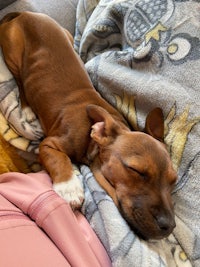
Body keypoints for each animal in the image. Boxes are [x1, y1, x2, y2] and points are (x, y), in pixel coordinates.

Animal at [0, 11, 177, 241]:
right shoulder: (49, 144)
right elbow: (58, 159)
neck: (92, 133)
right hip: (13, 53)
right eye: (135, 170)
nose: (169, 226)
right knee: (20, 81)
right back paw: (28, 109)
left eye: (174, 181)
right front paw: (69, 187)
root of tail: (25, 13)